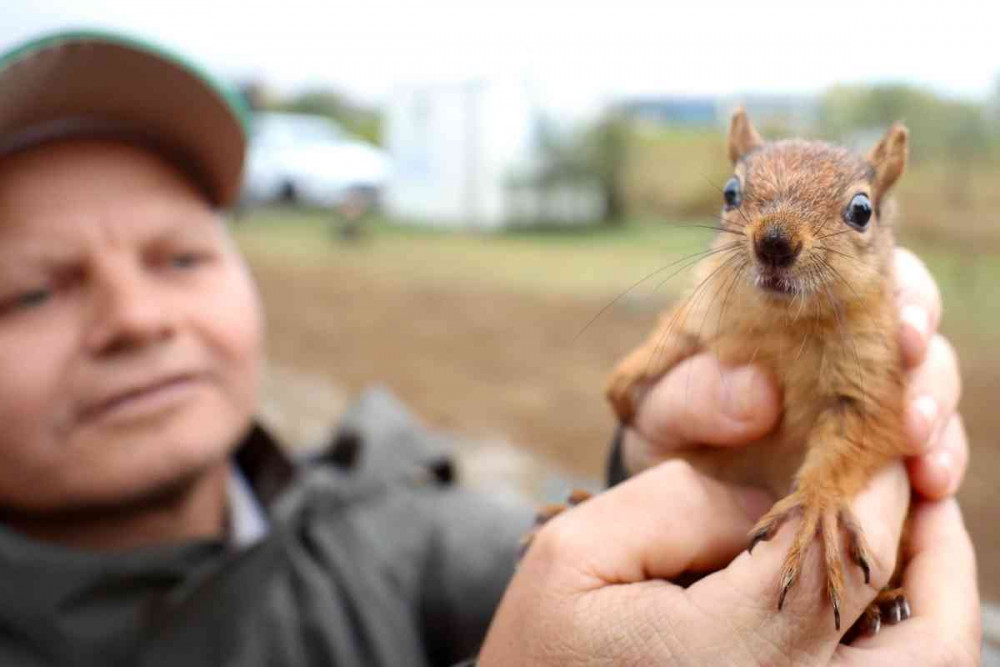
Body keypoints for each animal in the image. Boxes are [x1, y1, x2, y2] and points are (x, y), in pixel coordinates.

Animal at [600, 109, 916, 636]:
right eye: (731, 191)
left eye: (862, 210)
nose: (774, 241)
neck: (783, 326)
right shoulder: (699, 318)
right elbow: (665, 343)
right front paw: (624, 384)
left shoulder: (873, 378)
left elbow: (856, 437)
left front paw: (816, 506)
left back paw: (883, 604)